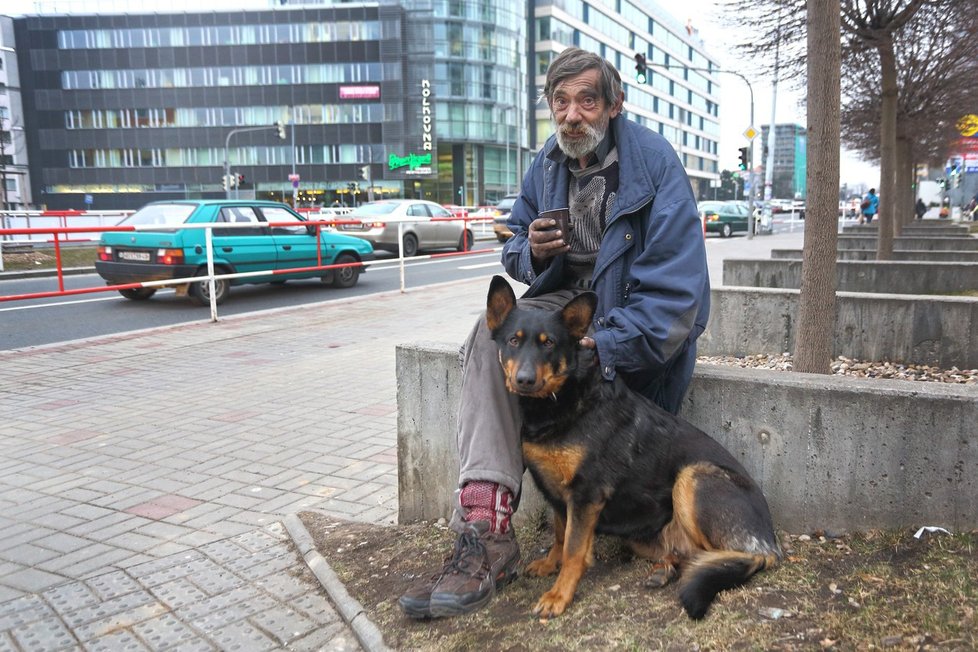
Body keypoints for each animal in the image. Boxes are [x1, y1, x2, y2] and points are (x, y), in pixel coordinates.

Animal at [484, 276, 780, 620]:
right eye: (513, 341)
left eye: (549, 344)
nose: (525, 380)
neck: (563, 398)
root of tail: (769, 545)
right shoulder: (560, 495)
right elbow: (560, 534)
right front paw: (549, 564)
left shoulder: (585, 495)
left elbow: (573, 550)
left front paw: (560, 594)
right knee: (693, 554)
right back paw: (664, 568)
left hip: (691, 477)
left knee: (730, 557)